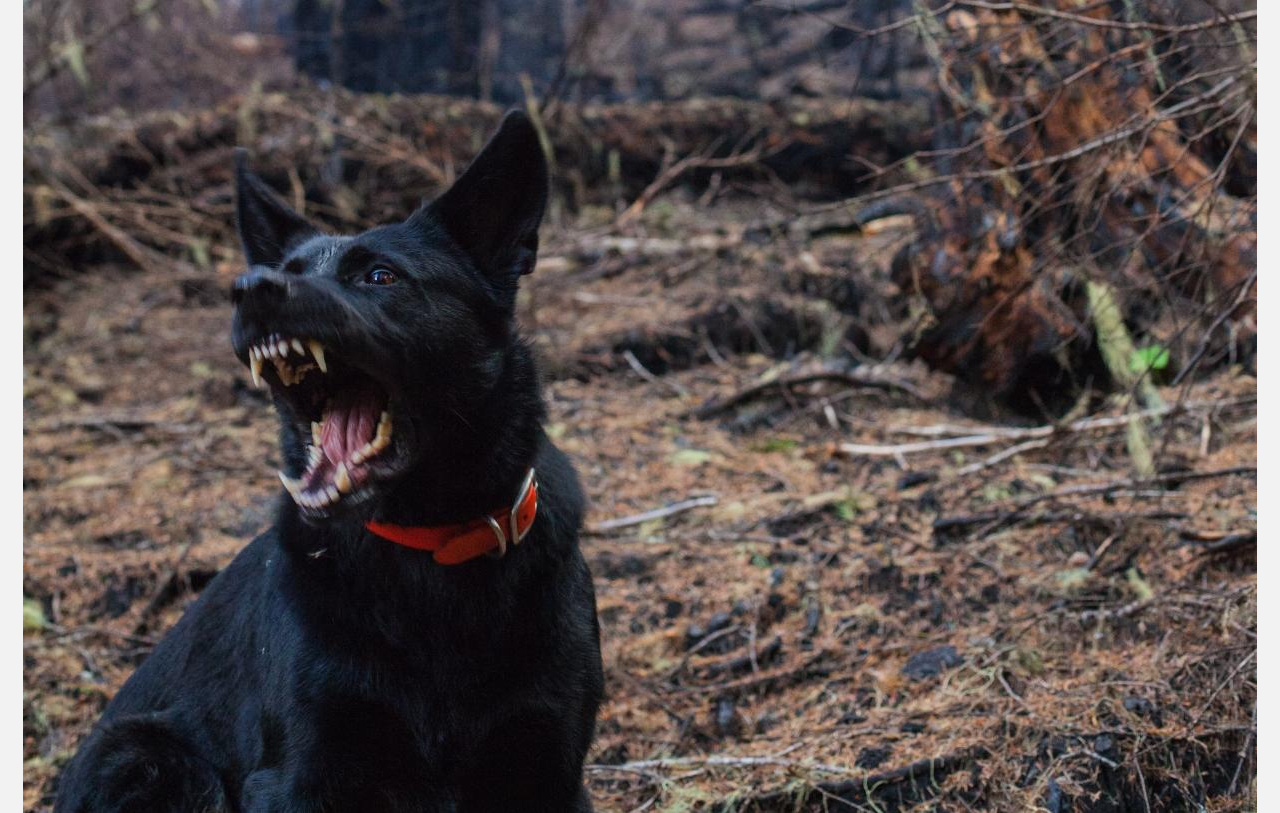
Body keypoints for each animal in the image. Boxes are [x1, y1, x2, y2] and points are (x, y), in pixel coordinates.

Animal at [52, 111, 601, 809]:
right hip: (152, 759)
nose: (250, 289)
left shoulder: (548, 766)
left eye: (380, 276)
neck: (431, 550)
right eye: (285, 268)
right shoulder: (300, 773)